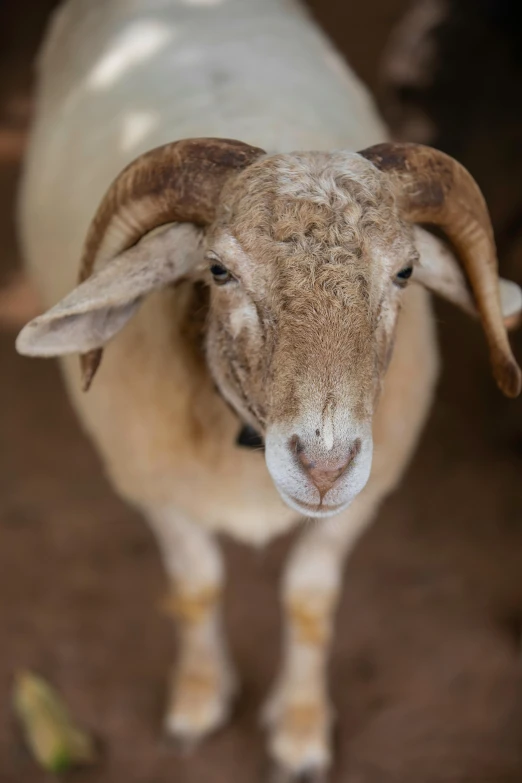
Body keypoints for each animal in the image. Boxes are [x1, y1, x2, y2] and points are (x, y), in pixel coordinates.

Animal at [14, 0, 520, 776]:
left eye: (405, 272)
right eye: (218, 270)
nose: (325, 465)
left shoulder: (363, 501)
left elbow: (309, 601)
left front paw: (301, 733)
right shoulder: (153, 489)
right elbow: (196, 587)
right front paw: (196, 701)